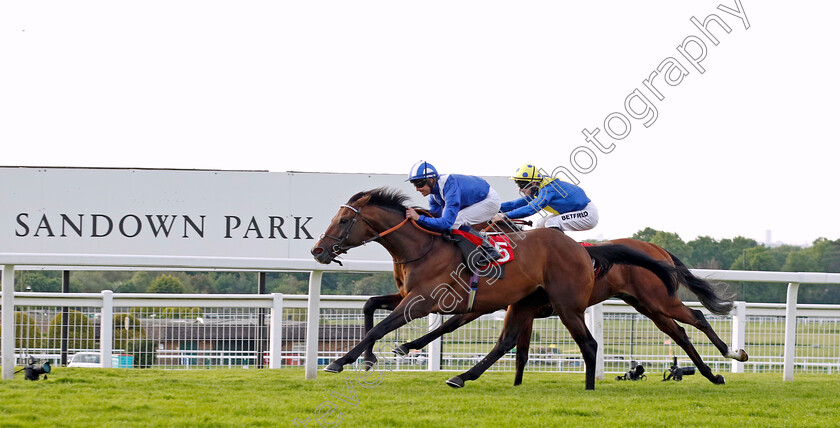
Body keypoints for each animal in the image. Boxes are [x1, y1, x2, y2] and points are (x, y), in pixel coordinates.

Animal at [312, 189, 680, 390]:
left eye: (343, 221)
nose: (318, 250)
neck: (421, 247)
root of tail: (582, 250)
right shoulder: (409, 297)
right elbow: (369, 306)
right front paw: (368, 358)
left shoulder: (423, 301)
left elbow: (382, 327)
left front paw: (340, 361)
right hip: (526, 302)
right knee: (507, 342)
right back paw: (460, 376)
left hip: (566, 304)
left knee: (588, 344)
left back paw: (589, 388)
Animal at [388, 236, 748, 390]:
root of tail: (657, 248)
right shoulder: (514, 306)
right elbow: (516, 349)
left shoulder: (494, 304)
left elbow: (455, 327)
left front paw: (407, 346)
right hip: (647, 305)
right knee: (681, 332)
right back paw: (713, 374)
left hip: (658, 300)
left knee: (697, 319)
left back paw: (733, 354)